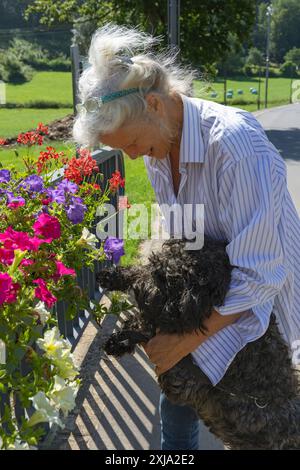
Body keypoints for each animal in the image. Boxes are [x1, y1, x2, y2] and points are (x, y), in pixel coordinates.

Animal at [96, 237, 300, 450]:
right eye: (155, 267)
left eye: (166, 280)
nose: (138, 288)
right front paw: (113, 276)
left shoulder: (183, 379)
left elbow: (151, 329)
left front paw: (123, 338)